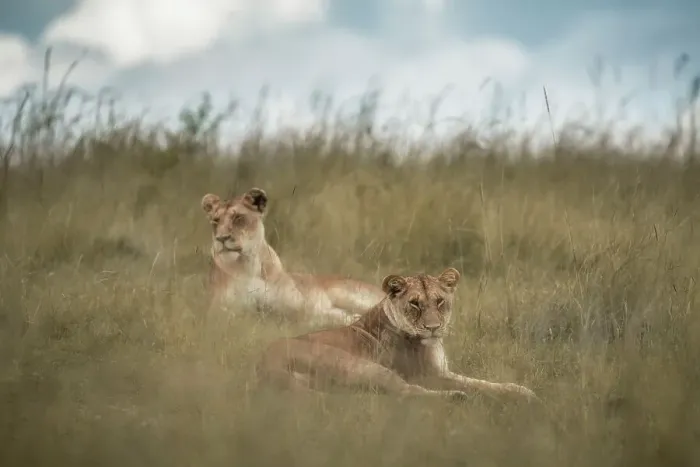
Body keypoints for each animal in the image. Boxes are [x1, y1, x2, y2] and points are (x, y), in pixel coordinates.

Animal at [201, 187, 385, 326]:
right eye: (215, 221)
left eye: (238, 218)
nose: (221, 238)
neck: (249, 264)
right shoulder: (219, 312)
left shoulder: (298, 305)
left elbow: (314, 316)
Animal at [256, 267, 540, 403]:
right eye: (414, 304)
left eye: (439, 301)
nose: (433, 327)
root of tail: (264, 364)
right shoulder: (429, 376)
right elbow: (474, 385)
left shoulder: (443, 370)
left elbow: (483, 382)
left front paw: (520, 390)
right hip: (362, 367)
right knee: (404, 394)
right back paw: (456, 399)